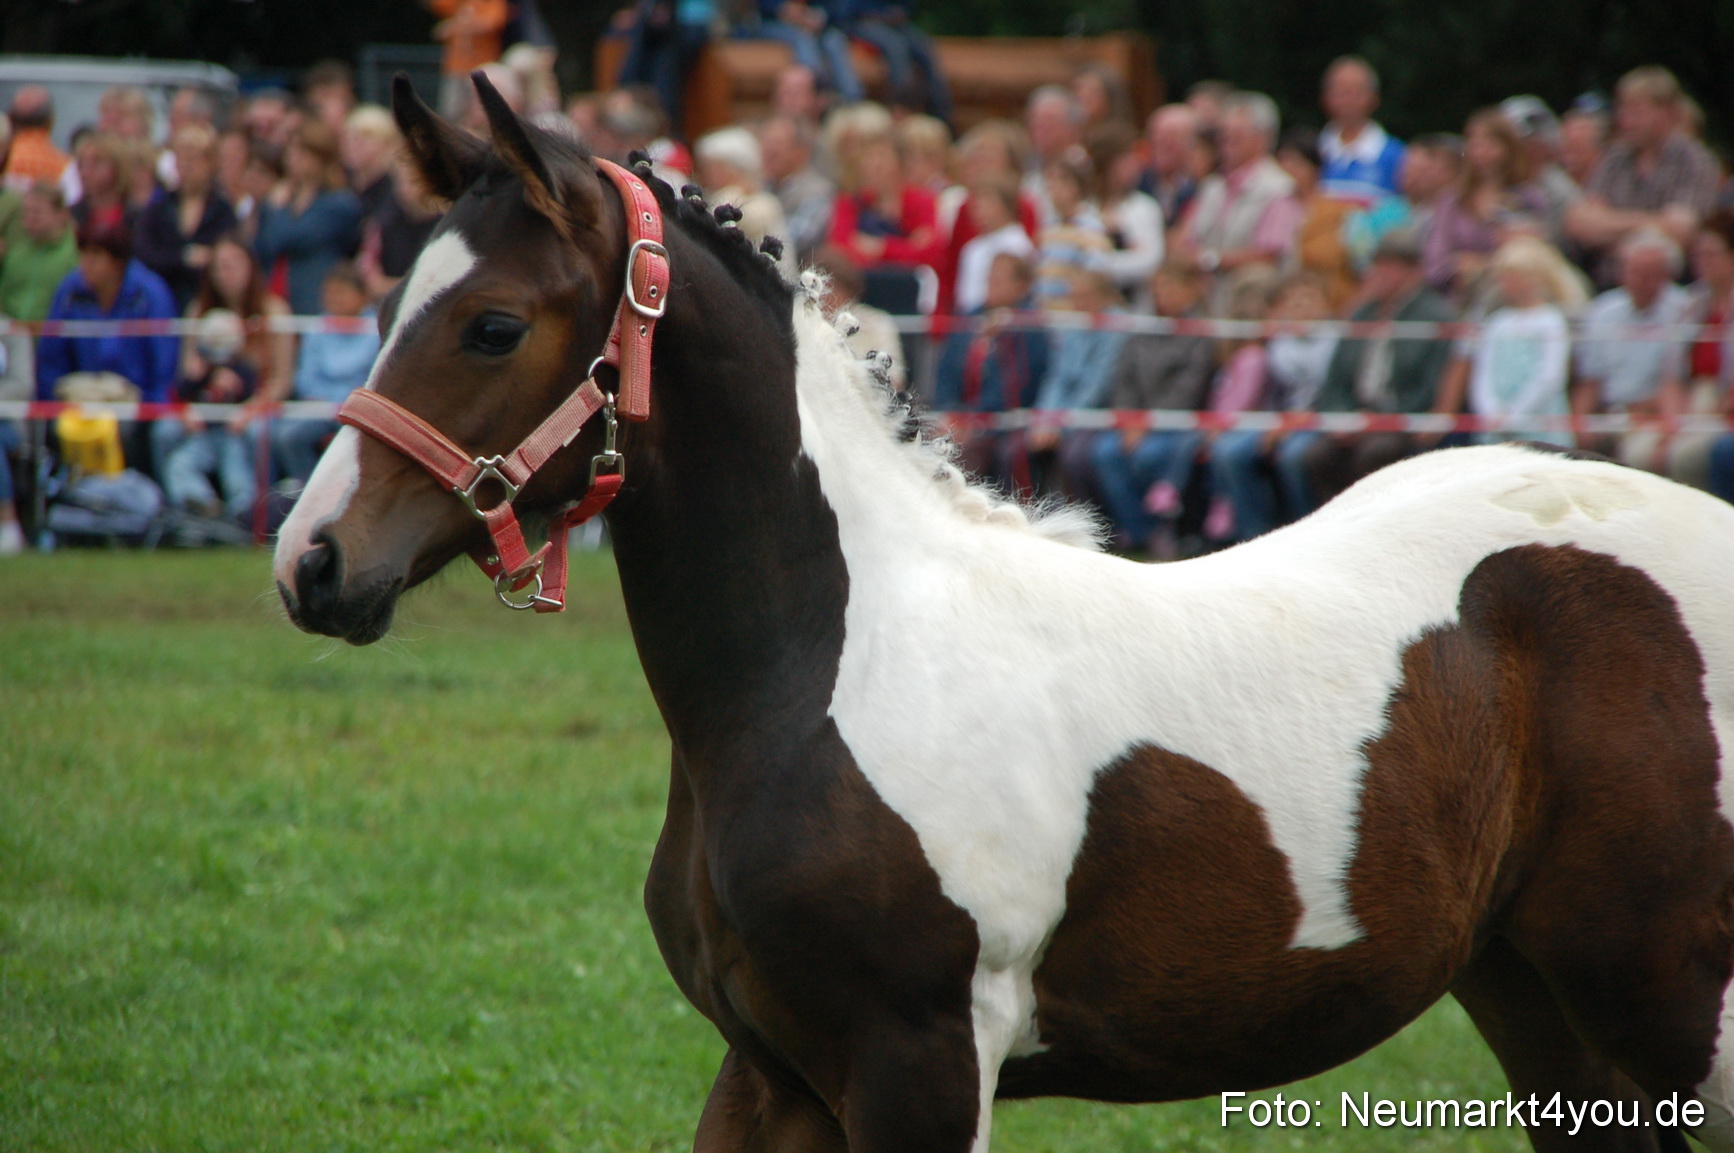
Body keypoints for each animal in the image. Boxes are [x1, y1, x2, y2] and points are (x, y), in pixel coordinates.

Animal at [274, 75, 1734, 1153]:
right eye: (394, 299)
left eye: (491, 324)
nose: (312, 562)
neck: (831, 667)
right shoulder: (769, 1076)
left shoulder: (918, 1063)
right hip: (1545, 1008)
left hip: (1680, 1009)